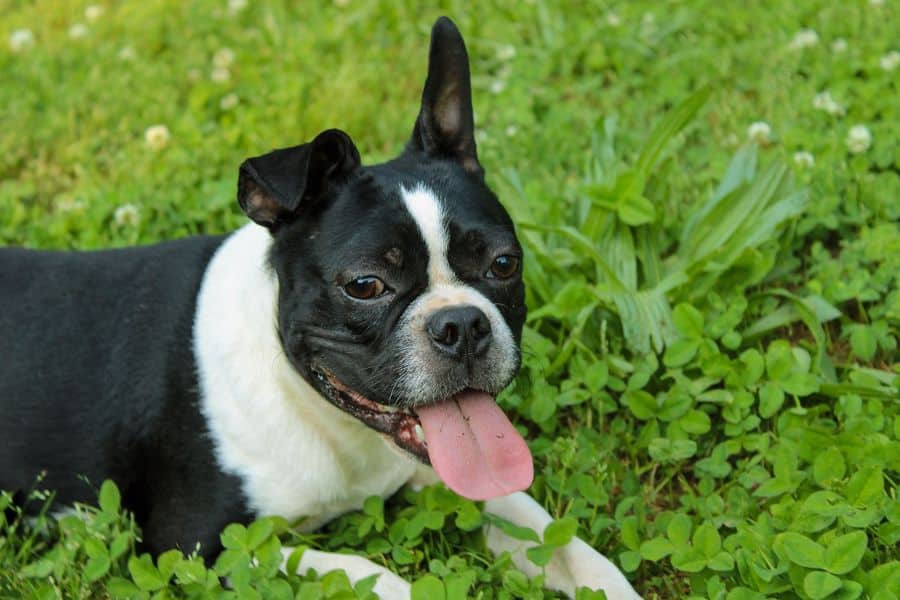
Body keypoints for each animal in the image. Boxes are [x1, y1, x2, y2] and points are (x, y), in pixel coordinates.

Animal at [1, 16, 640, 596]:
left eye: (504, 264)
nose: (462, 323)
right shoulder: (193, 547)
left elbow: (560, 539)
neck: (320, 410)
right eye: (366, 285)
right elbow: (362, 574)